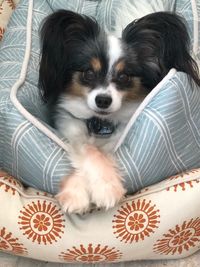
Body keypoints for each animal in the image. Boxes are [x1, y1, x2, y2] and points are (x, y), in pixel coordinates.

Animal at [38, 11, 199, 216]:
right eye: (88, 73)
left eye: (124, 77)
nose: (103, 100)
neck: (100, 123)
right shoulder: (71, 131)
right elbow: (89, 150)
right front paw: (76, 194)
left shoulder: (115, 141)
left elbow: (102, 154)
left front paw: (106, 189)